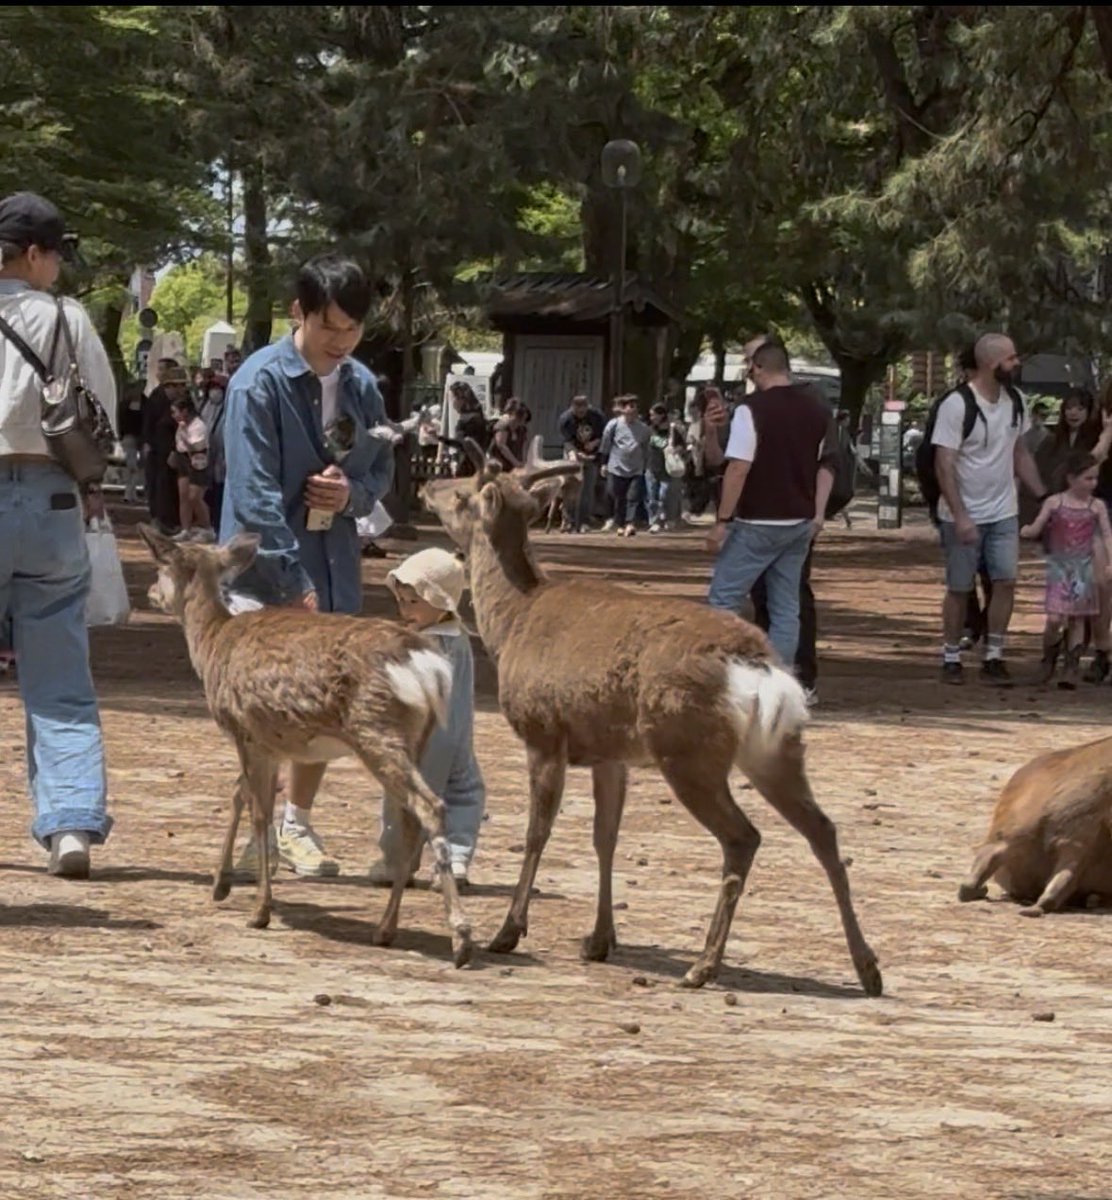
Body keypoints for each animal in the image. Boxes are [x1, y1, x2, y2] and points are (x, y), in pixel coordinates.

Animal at [137, 525, 473, 968]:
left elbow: (259, 811)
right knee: (410, 819)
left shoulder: (245, 730)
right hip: (418, 736)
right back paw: (386, 928)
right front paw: (220, 884)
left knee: (429, 805)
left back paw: (461, 938)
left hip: (375, 730)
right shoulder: (270, 741)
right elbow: (238, 795)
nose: (149, 593)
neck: (212, 643)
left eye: (160, 566)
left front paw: (259, 909)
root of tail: (426, 666)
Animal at [421, 442, 882, 995]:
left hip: (687, 749)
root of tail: (757, 666)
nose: (427, 485)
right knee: (824, 830)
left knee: (744, 837)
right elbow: (605, 836)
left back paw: (703, 965)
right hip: (777, 749)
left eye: (463, 492)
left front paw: (508, 932)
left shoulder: (544, 734)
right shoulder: (609, 754)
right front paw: (599, 940)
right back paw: (868, 968)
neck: (513, 623)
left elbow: (537, 834)